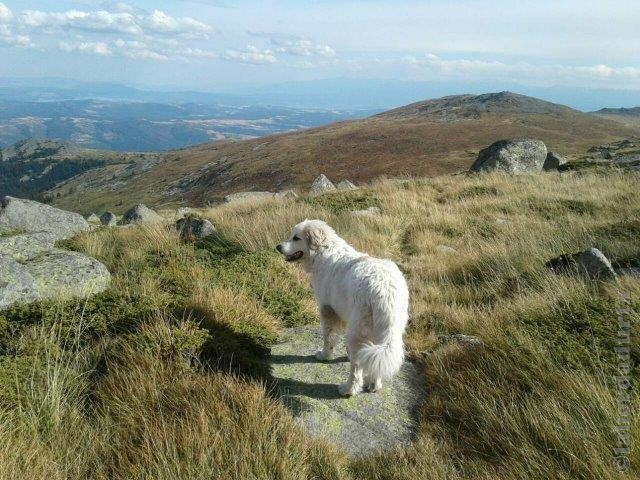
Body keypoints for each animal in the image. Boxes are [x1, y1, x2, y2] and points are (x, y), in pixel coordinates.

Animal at [276, 219, 410, 396]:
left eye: (296, 238)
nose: (278, 247)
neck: (323, 250)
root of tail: (384, 290)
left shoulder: (327, 310)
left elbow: (328, 337)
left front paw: (325, 355)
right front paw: (345, 354)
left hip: (358, 331)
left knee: (356, 368)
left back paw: (348, 389)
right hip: (385, 331)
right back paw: (373, 384)